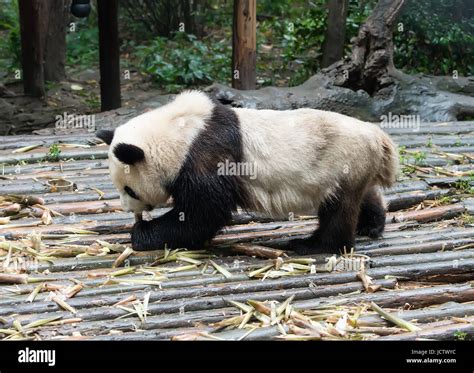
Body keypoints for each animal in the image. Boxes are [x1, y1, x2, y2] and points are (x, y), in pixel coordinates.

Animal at [94, 90, 398, 253]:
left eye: (129, 189)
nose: (128, 210)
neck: (180, 131)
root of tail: (379, 137)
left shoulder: (205, 154)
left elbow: (203, 212)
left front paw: (143, 233)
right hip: (352, 167)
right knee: (362, 194)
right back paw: (371, 224)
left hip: (340, 160)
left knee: (338, 210)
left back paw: (315, 244)